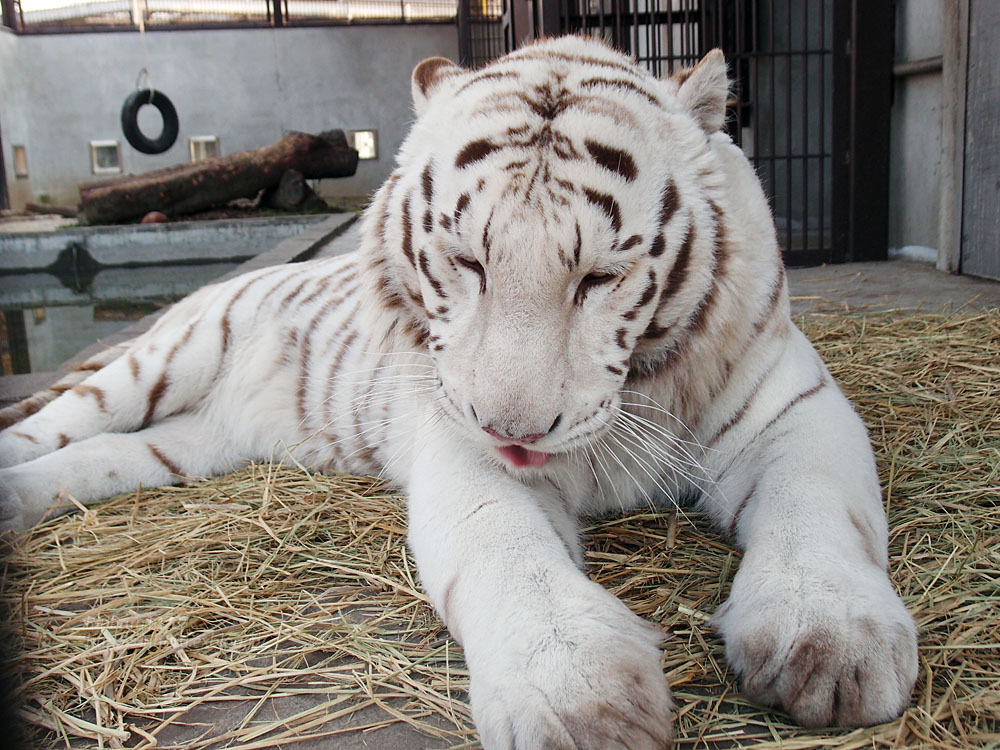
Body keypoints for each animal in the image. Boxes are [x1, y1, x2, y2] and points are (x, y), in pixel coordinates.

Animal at [3, 36, 916, 750]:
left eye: (599, 277)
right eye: (468, 262)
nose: (512, 427)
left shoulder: (794, 406)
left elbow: (818, 507)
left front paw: (830, 642)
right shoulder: (463, 454)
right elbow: (506, 555)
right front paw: (579, 699)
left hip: (184, 445)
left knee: (98, 461)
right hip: (159, 363)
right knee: (53, 426)